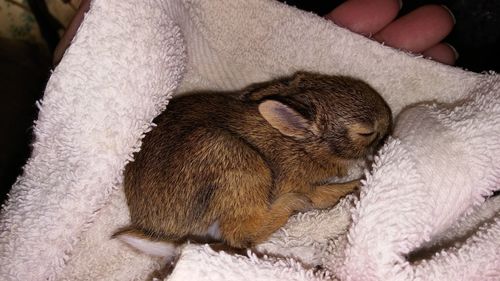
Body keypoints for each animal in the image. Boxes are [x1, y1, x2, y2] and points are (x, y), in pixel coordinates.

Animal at [115, 71, 392, 258]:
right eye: (366, 132)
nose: (388, 120)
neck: (301, 144)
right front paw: (353, 185)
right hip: (238, 163)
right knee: (242, 234)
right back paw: (294, 203)